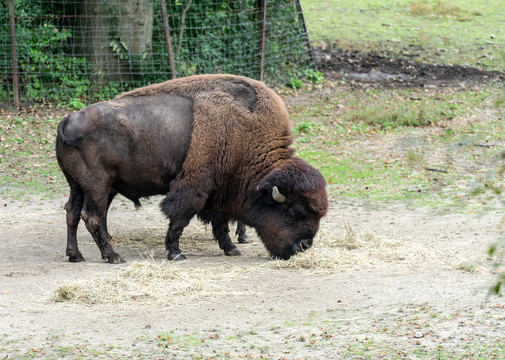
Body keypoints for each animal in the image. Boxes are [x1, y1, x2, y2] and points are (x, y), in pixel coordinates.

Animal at [56, 74, 326, 262]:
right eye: (293, 212)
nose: (304, 246)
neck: (244, 135)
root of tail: (69, 118)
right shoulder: (196, 186)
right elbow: (180, 218)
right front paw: (176, 253)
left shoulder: (220, 190)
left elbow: (220, 222)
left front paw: (231, 249)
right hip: (98, 186)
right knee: (92, 217)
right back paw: (113, 256)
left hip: (81, 186)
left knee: (73, 213)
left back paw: (75, 255)